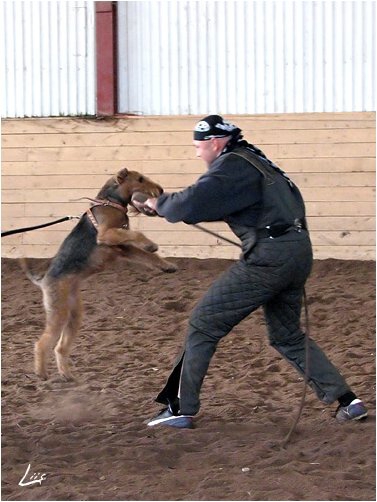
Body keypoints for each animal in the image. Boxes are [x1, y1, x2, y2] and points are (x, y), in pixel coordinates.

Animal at [21, 169, 177, 380]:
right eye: (140, 179)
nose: (160, 190)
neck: (109, 202)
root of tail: (43, 280)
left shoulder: (123, 248)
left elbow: (146, 254)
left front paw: (167, 265)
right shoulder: (107, 235)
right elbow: (137, 235)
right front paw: (151, 245)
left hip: (74, 315)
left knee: (60, 347)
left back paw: (67, 374)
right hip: (58, 312)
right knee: (42, 343)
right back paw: (41, 373)